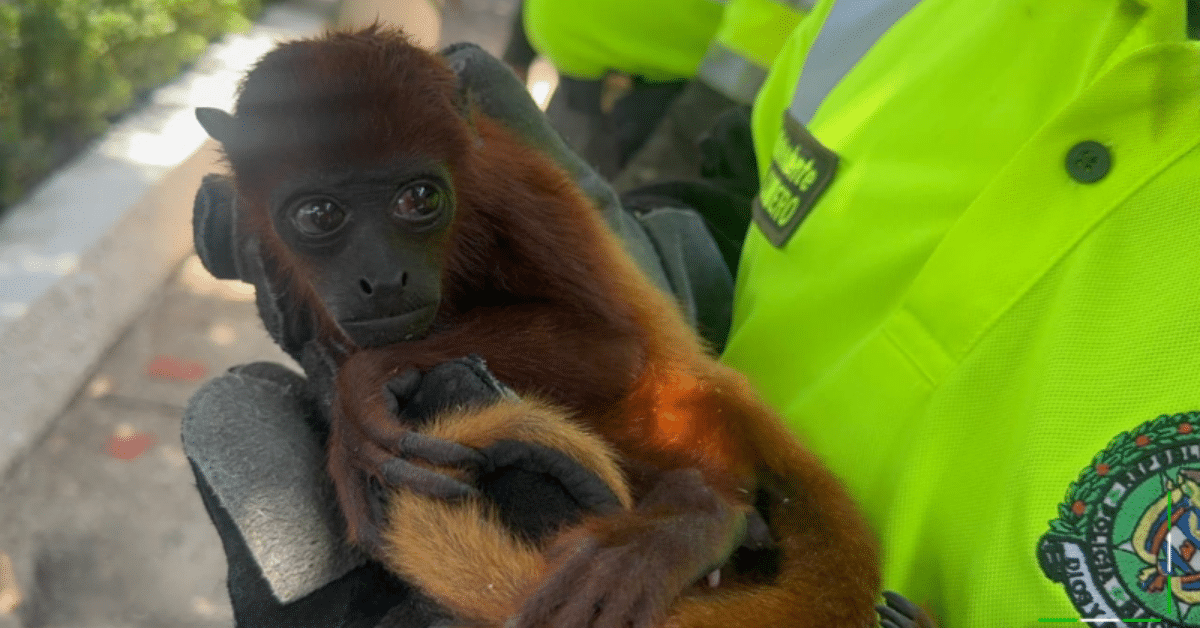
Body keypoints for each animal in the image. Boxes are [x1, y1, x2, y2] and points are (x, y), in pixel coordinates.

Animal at [195, 26, 879, 628]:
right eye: (318, 214)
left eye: (419, 199)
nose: (384, 279)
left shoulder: (510, 193)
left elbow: (616, 350)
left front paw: (359, 392)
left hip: (682, 405)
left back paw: (701, 514)